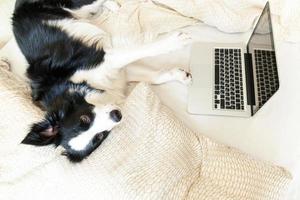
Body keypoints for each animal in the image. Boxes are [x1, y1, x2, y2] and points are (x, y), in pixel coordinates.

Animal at [11, 0, 192, 162]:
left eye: (84, 119)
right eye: (99, 137)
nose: (117, 115)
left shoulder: (103, 59)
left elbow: (139, 51)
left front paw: (173, 42)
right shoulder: (117, 77)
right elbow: (152, 75)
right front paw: (179, 75)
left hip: (78, 5)